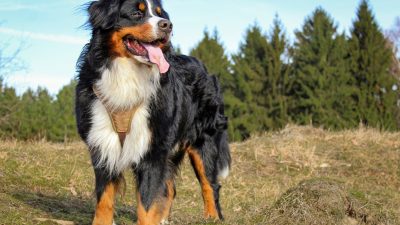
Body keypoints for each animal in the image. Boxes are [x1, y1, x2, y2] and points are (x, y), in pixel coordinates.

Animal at [75, 0, 231, 224]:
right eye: (136, 13)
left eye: (160, 14)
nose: (167, 25)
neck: (127, 75)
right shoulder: (103, 144)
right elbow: (104, 198)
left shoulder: (153, 150)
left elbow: (147, 204)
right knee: (170, 188)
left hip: (203, 141)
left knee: (210, 185)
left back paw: (212, 217)